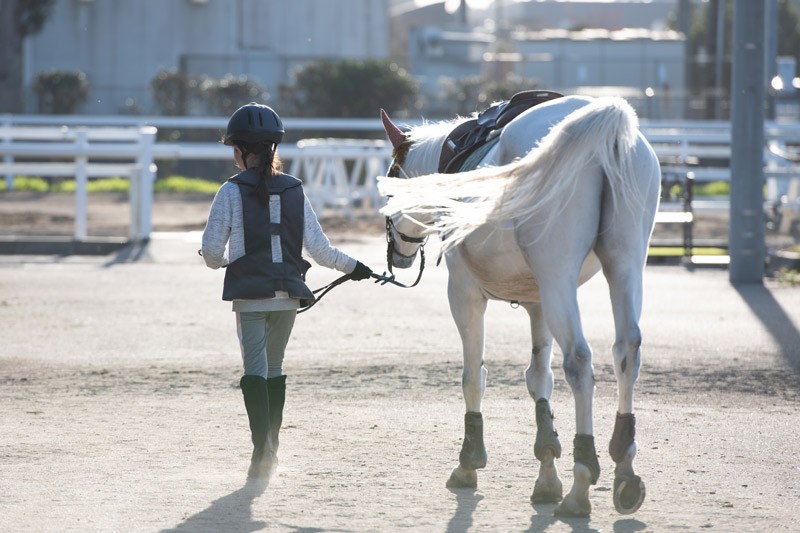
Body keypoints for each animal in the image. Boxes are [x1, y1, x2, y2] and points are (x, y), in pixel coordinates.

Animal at [378, 95, 660, 516]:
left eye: (390, 189)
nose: (398, 252)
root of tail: (600, 130)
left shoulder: (464, 295)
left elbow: (473, 377)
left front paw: (470, 461)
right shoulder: (539, 304)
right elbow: (539, 380)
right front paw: (546, 473)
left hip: (558, 277)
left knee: (579, 362)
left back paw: (582, 478)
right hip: (624, 266)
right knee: (626, 350)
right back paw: (623, 466)